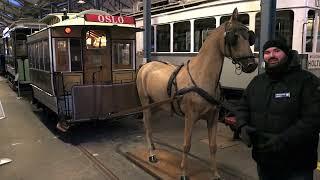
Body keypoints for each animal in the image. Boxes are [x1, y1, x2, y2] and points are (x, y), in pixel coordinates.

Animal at [135, 8, 258, 179]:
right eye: (234, 37)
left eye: (249, 36)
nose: (251, 64)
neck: (202, 75)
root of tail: (146, 66)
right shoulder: (190, 117)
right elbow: (186, 145)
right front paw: (183, 173)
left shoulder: (213, 117)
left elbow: (213, 146)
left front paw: (215, 173)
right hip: (145, 103)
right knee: (148, 127)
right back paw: (152, 154)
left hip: (157, 105)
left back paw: (153, 148)